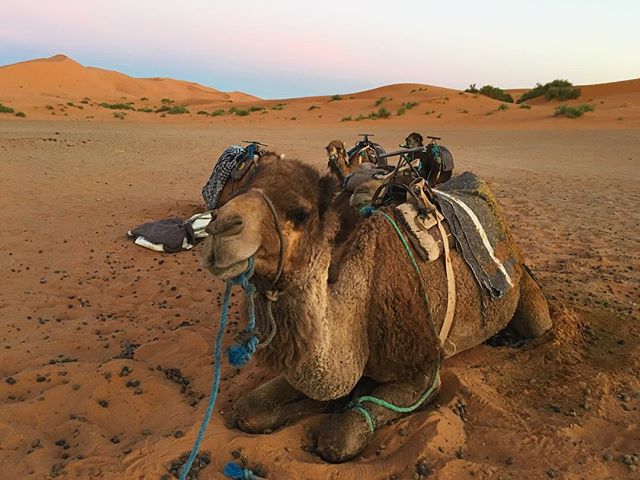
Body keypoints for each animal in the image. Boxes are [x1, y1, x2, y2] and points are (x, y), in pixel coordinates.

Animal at [202, 156, 552, 464]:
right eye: (232, 194)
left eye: (300, 213)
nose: (219, 229)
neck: (362, 304)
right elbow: (248, 410)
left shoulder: (423, 374)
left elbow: (339, 438)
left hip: (525, 294)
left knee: (539, 325)